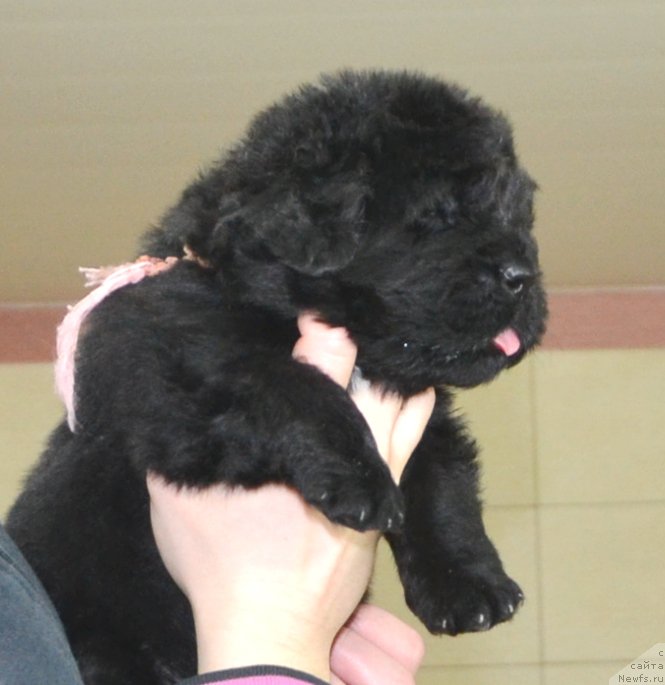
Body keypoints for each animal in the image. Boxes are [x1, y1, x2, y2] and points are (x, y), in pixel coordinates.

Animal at [6, 72, 544, 680]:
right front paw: (362, 481)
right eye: (439, 214)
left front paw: (469, 584)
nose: (524, 275)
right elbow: (298, 388)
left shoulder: (425, 417)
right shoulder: (186, 384)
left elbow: (444, 483)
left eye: (519, 217)